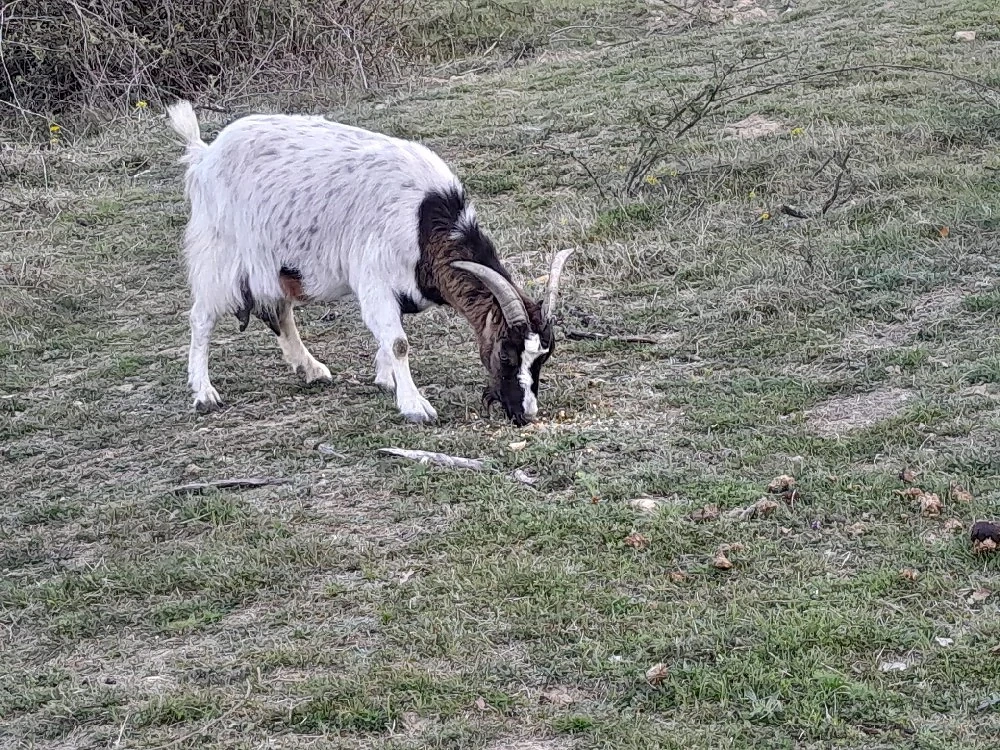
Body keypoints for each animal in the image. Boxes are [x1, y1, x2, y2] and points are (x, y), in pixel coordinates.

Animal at [165, 100, 573, 426]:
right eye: (506, 353)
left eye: (543, 358)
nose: (526, 413)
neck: (425, 220)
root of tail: (204, 155)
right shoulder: (374, 276)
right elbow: (399, 343)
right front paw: (414, 406)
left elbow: (390, 340)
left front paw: (385, 378)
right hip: (220, 254)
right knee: (202, 317)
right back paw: (204, 393)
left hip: (275, 263)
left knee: (279, 310)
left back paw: (311, 369)